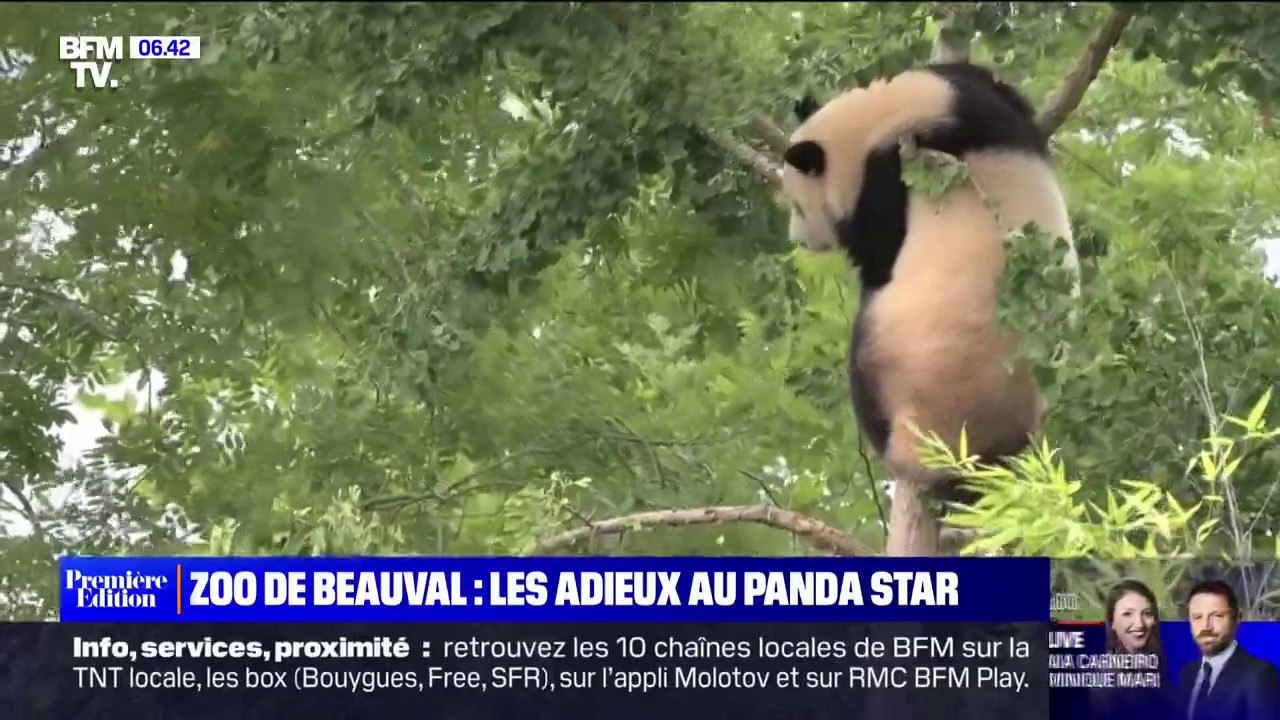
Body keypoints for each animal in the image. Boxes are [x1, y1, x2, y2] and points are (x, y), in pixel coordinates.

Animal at [779, 62, 1078, 547]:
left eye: (798, 206)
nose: (800, 240)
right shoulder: (978, 96)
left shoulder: (886, 179)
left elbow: (879, 252)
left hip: (903, 363)